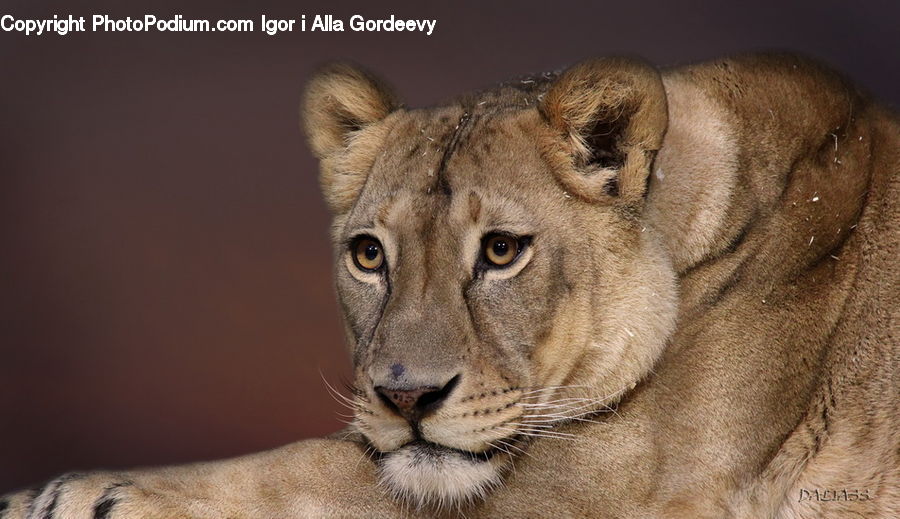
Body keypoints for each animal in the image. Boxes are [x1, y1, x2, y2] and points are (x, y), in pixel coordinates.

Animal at [2, 53, 897, 519]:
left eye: (501, 251)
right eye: (369, 256)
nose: (406, 397)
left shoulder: (633, 483)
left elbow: (320, 470)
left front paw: (95, 493)